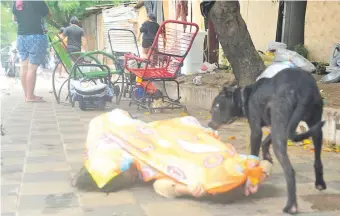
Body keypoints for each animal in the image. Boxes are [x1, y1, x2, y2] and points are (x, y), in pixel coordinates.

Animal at [207, 68, 326, 214]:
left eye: (217, 106)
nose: (209, 124)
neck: (246, 96)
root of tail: (305, 90)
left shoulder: (257, 130)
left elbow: (253, 154)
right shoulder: (277, 126)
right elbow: (266, 141)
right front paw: (267, 157)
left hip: (282, 126)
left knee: (289, 171)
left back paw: (291, 206)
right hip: (315, 126)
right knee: (317, 160)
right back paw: (319, 183)